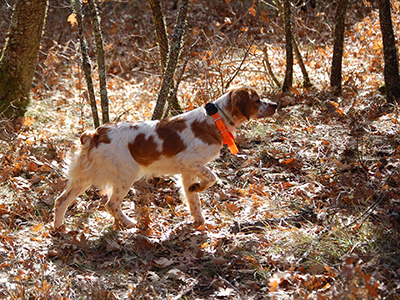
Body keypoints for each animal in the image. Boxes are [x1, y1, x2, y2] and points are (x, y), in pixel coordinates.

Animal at [53, 86, 278, 230]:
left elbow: (193, 201)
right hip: (127, 174)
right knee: (111, 204)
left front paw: (200, 223)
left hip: (84, 177)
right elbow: (212, 178)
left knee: (60, 201)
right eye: (257, 100)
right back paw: (130, 224)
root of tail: (96, 134)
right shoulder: (189, 162)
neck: (215, 119)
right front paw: (199, 189)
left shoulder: (187, 172)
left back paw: (59, 229)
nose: (275, 104)